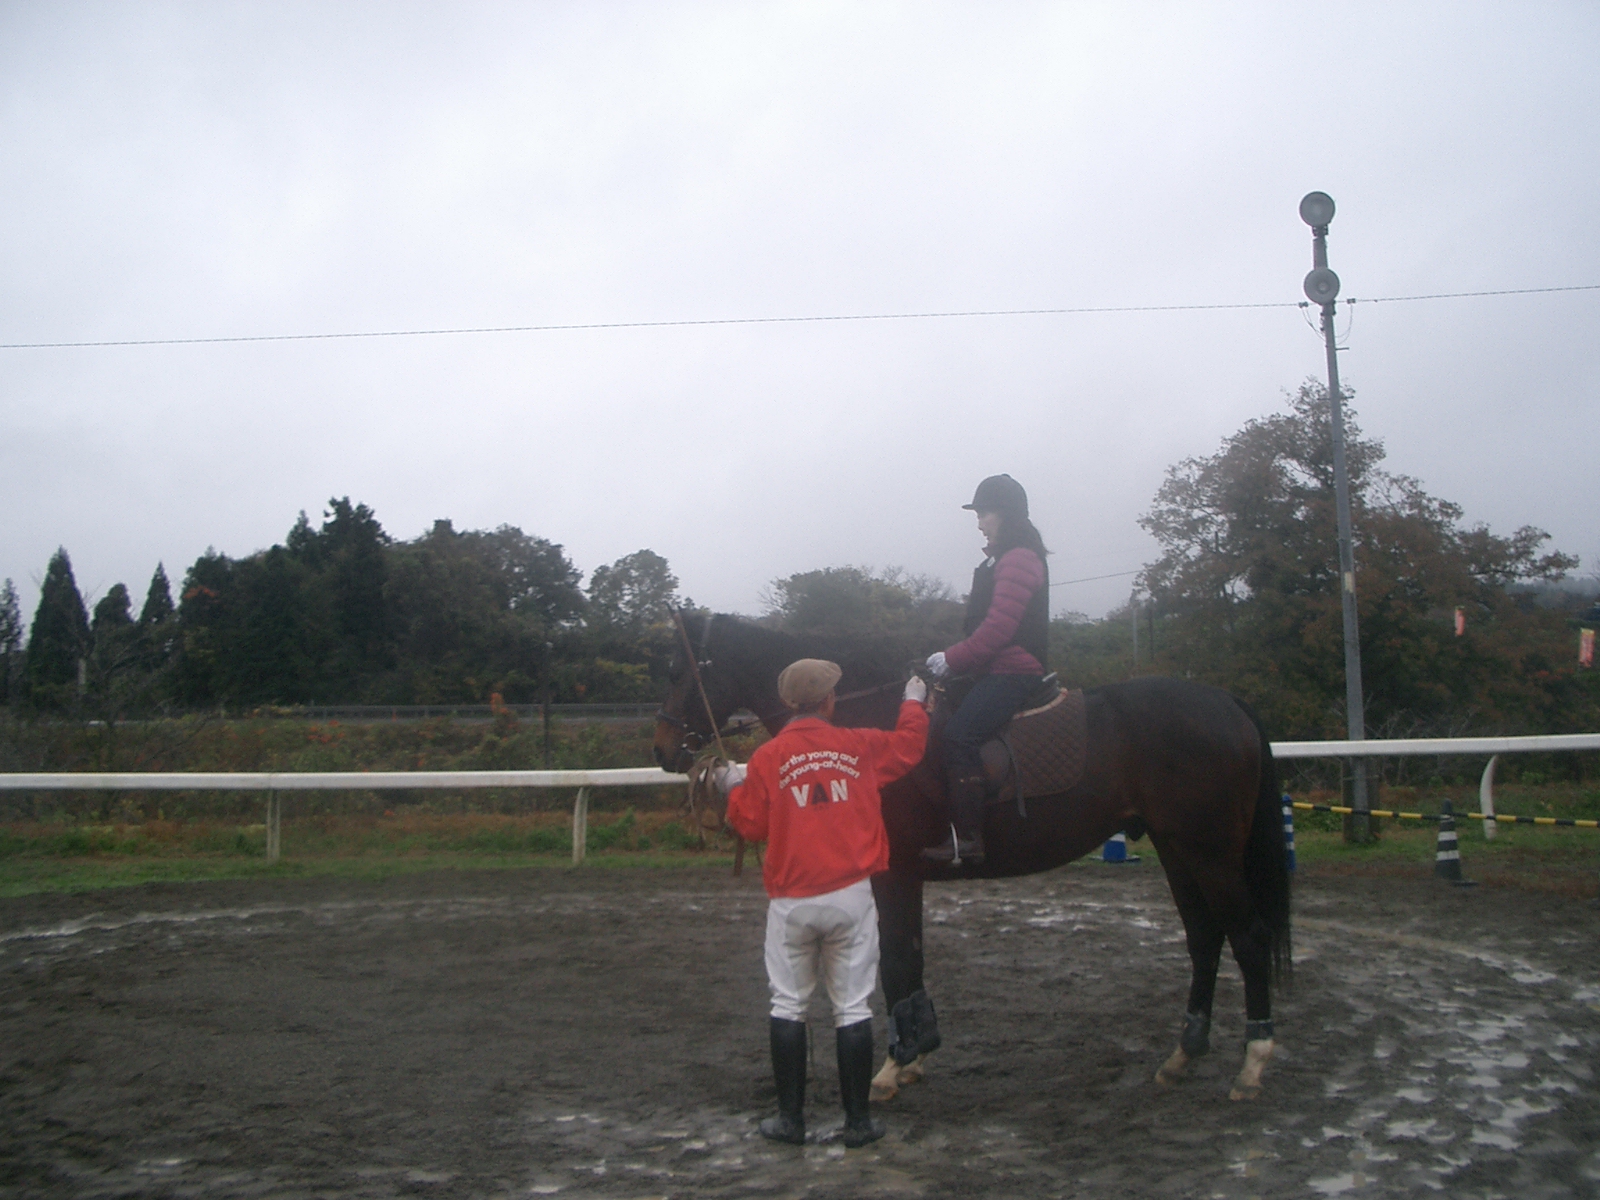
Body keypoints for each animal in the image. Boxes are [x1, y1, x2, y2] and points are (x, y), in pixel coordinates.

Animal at [652, 612, 1291, 1103]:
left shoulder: (893, 872)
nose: (663, 751)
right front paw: (913, 1056)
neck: (869, 723)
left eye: (679, 671)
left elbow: (897, 960)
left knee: (1248, 937)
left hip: (1208, 852)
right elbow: (910, 958)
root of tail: (1226, 703)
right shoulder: (903, 874)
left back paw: (1254, 1061)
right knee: (1205, 938)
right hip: (1178, 849)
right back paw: (1184, 1054)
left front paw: (894, 1065)